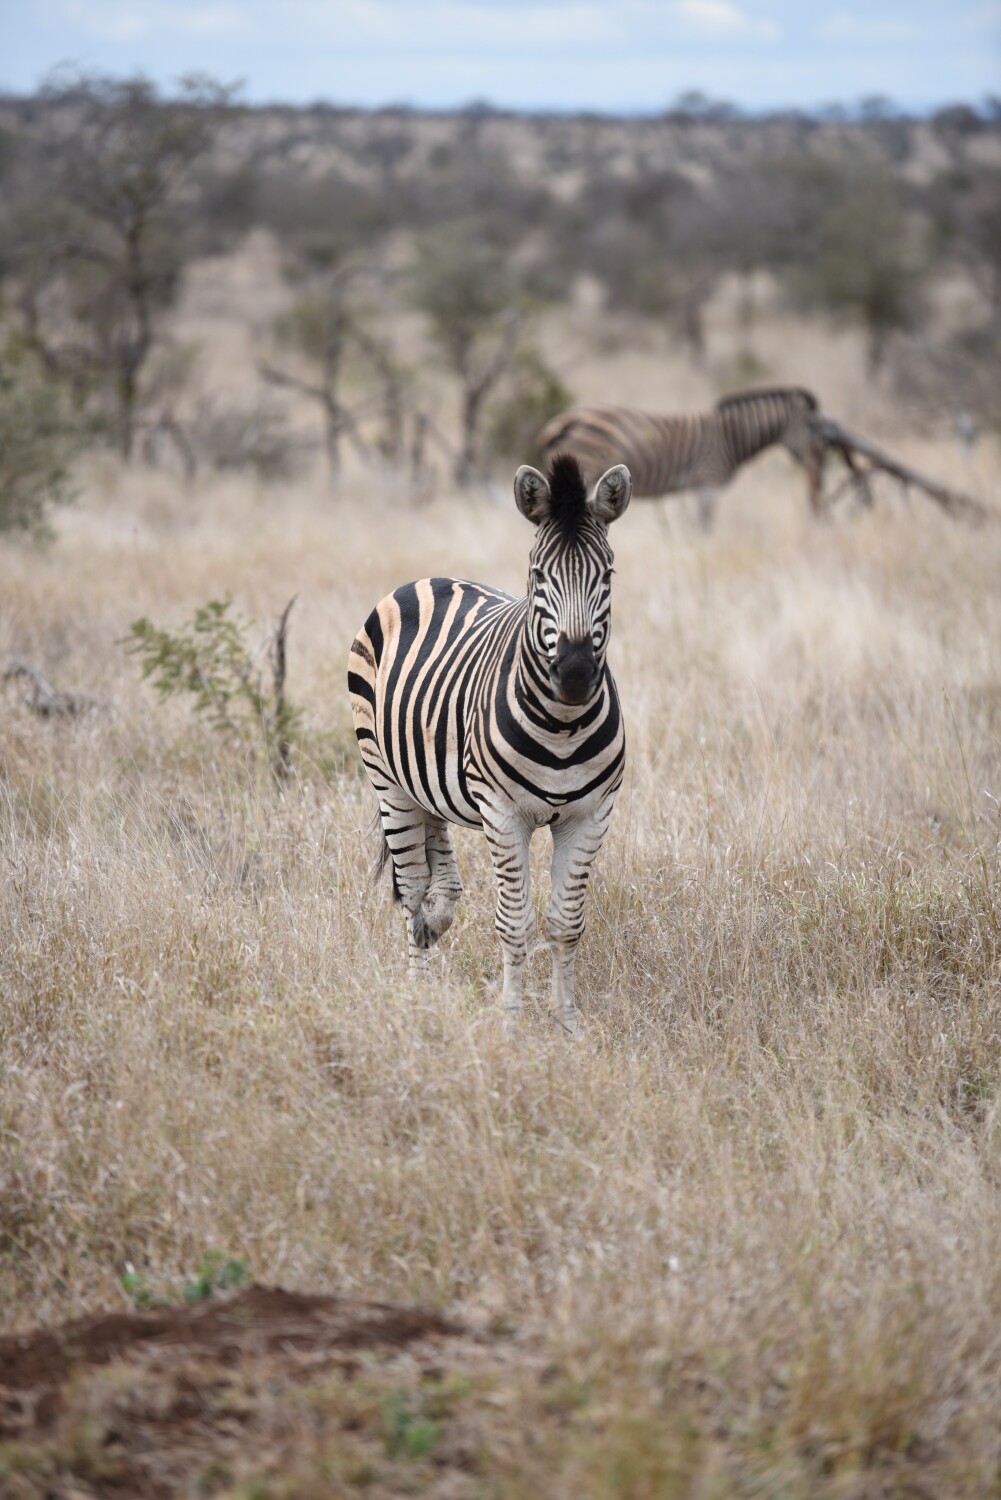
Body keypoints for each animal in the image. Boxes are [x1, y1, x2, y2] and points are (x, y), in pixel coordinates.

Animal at [348, 452, 631, 1037]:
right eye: (539, 575)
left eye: (608, 574)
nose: (574, 674)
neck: (563, 725)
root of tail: (427, 578)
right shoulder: (504, 814)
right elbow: (515, 923)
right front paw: (513, 1026)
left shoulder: (591, 815)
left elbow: (565, 923)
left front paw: (568, 1025)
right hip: (384, 776)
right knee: (411, 886)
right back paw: (418, 992)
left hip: (423, 771)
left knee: (434, 850)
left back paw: (438, 916)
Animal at [538, 387, 826, 528]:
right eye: (813, 426)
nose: (820, 473)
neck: (730, 436)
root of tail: (567, 419)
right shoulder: (707, 483)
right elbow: (703, 529)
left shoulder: (703, 487)